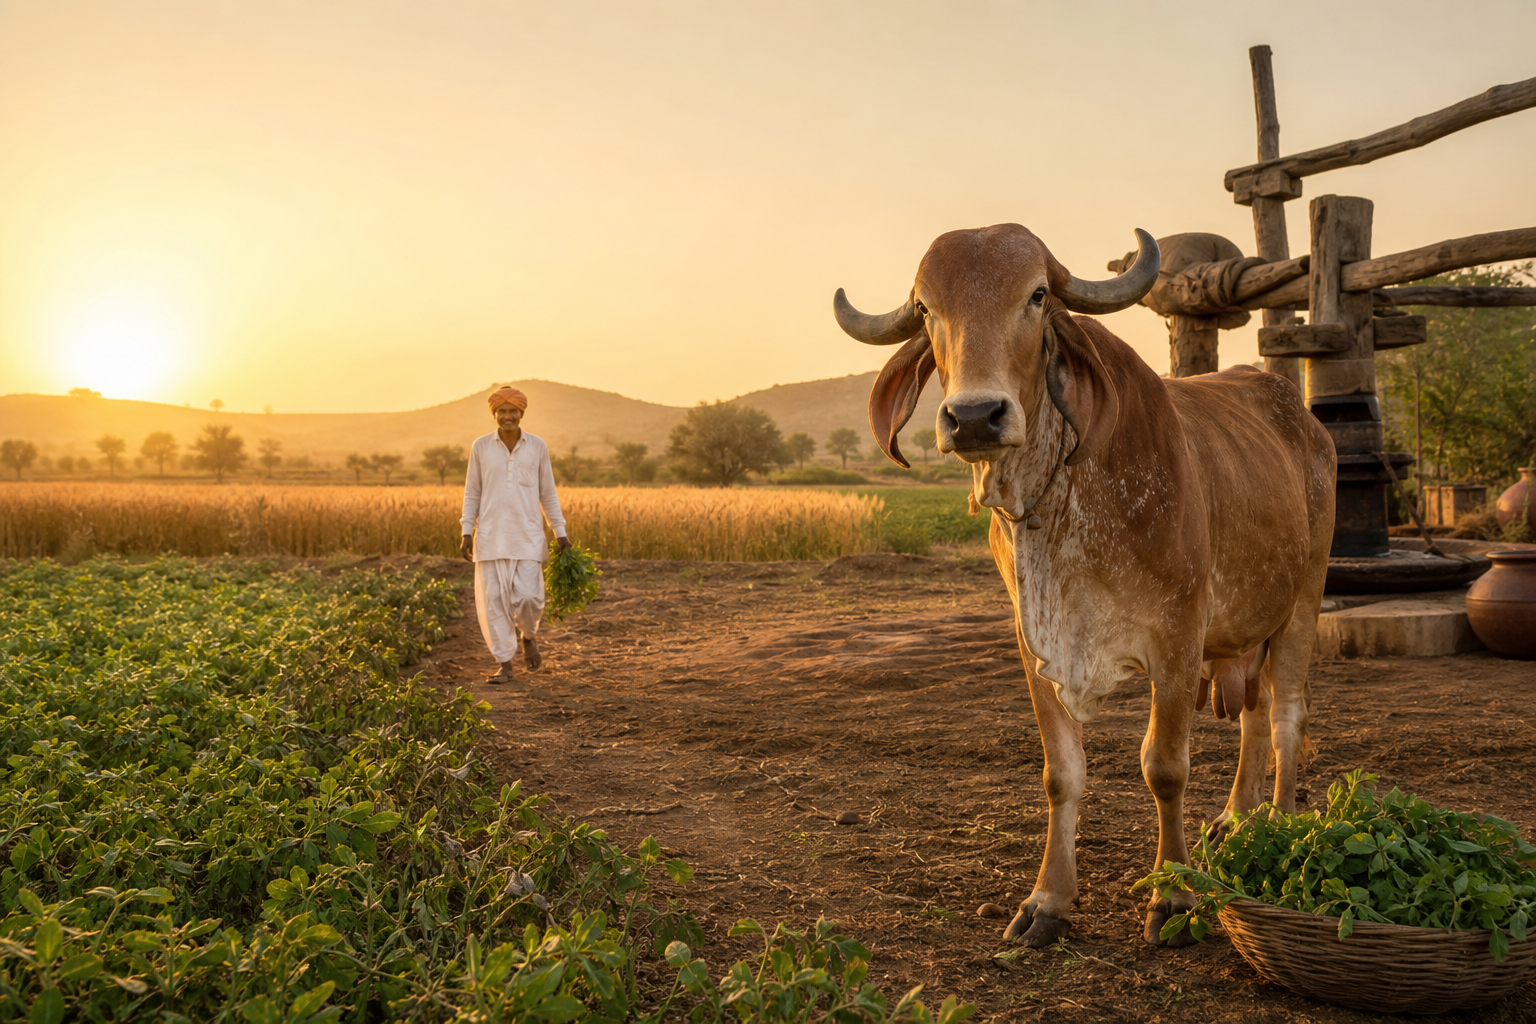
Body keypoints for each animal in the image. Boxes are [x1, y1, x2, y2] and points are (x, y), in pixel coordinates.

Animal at [832, 223, 1335, 947]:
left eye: (1038, 295)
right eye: (926, 308)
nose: (975, 417)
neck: (1063, 502)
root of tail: (1302, 417)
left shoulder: (1177, 641)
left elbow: (1166, 767)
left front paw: (1173, 894)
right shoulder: (1035, 646)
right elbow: (1061, 775)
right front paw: (1048, 900)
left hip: (1302, 601)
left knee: (1288, 713)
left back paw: (1284, 823)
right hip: (1242, 630)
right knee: (1254, 712)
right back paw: (1237, 820)